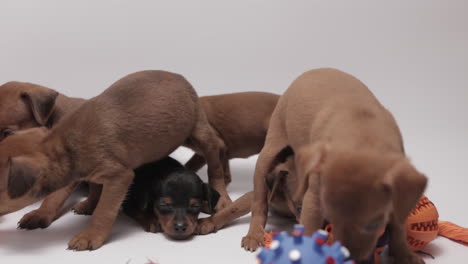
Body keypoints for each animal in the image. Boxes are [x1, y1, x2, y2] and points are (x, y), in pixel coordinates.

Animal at [0, 69, 230, 250]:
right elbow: (94, 190)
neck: (66, 140)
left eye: (6, 132)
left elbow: (103, 210)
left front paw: (91, 235)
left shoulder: (119, 177)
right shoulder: (93, 173)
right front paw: (89, 205)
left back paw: (222, 196)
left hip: (198, 134)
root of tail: (178, 76)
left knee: (215, 159)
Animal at [241, 68, 428, 264]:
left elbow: (398, 225)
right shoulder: (313, 198)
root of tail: (313, 70)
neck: (362, 133)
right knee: (260, 202)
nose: (350, 259)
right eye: (331, 218)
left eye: (374, 225)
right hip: (269, 152)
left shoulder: (400, 195)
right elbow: (309, 229)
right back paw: (254, 235)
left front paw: (405, 254)